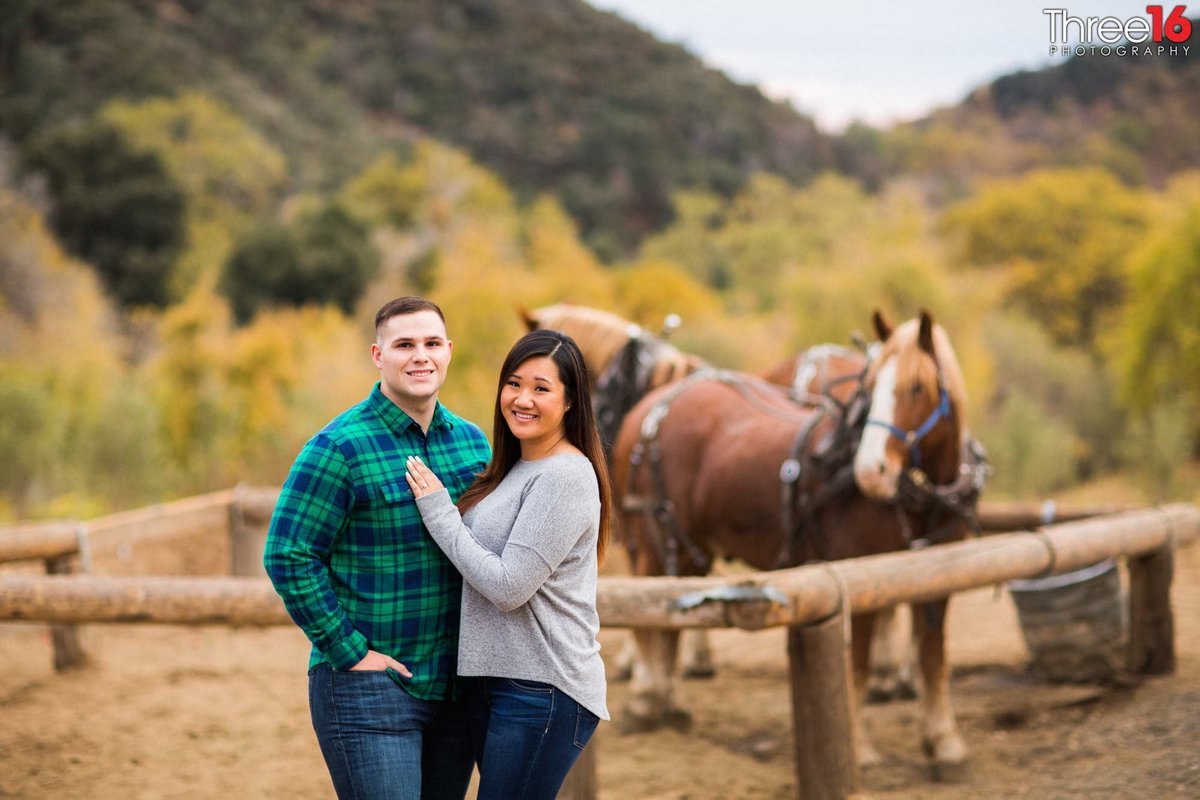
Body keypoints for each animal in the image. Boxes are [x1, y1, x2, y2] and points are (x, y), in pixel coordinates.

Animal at [614, 311, 969, 767]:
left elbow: (932, 656)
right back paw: (644, 701)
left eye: (918, 387)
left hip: (689, 549)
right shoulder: (863, 580)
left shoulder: (939, 578)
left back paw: (666, 703)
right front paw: (859, 747)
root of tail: (651, 410)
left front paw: (944, 741)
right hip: (655, 538)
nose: (871, 471)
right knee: (646, 616)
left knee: (670, 618)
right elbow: (855, 667)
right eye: (870, 386)